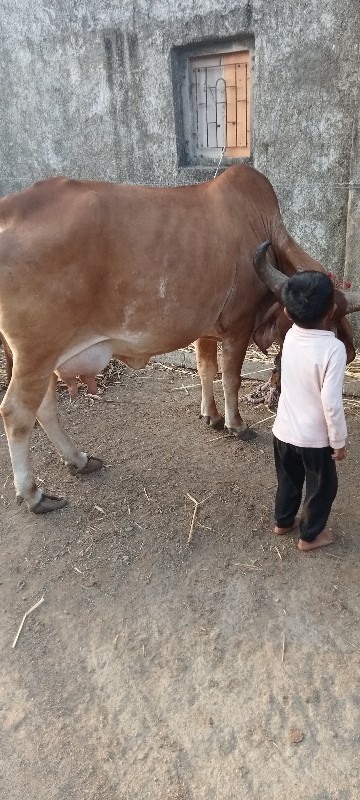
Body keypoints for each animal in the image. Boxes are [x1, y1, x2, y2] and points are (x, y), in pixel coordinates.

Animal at [0, 164, 360, 512]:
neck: (261, 226)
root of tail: (9, 209)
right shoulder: (238, 326)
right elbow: (230, 377)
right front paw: (236, 424)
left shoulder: (206, 329)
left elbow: (206, 369)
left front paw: (210, 415)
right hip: (37, 354)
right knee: (17, 414)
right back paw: (34, 494)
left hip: (42, 358)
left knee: (45, 409)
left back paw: (78, 460)